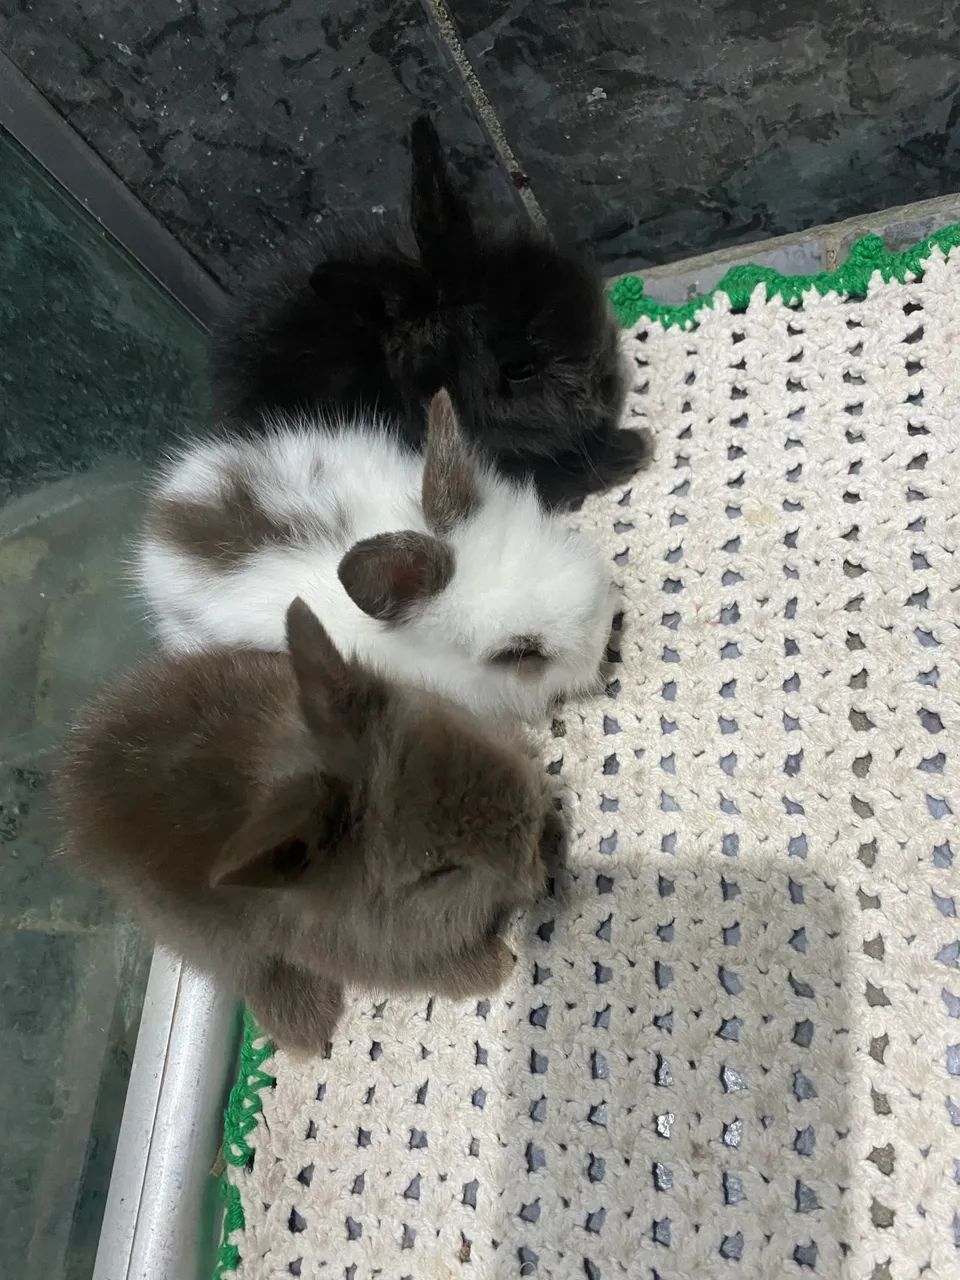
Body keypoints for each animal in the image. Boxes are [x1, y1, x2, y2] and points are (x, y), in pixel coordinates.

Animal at [57, 597, 552, 1054]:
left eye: (453, 732)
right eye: (438, 872)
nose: (536, 839)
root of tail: (80, 774)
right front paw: (498, 966)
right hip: (200, 932)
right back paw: (306, 1031)